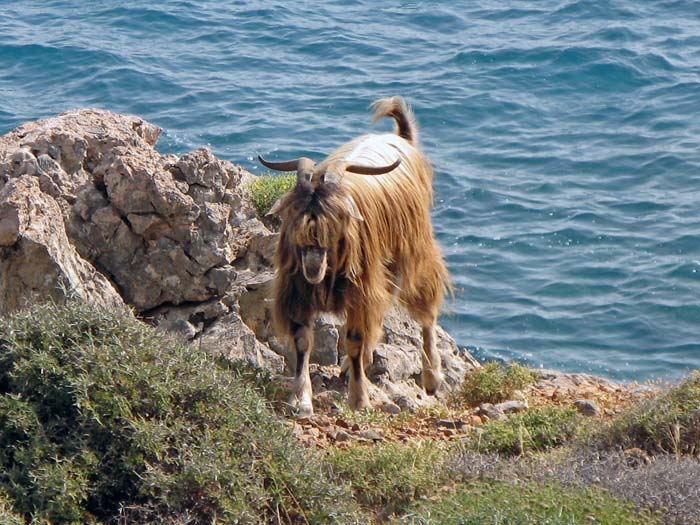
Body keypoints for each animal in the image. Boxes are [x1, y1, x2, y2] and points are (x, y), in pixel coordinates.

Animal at [260, 95, 452, 414]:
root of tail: (403, 138)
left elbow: (354, 339)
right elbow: (302, 341)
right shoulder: (297, 290)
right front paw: (301, 399)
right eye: (296, 222)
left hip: (413, 248)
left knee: (426, 306)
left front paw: (359, 399)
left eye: (336, 224)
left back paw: (432, 377)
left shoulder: (359, 289)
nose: (313, 267)